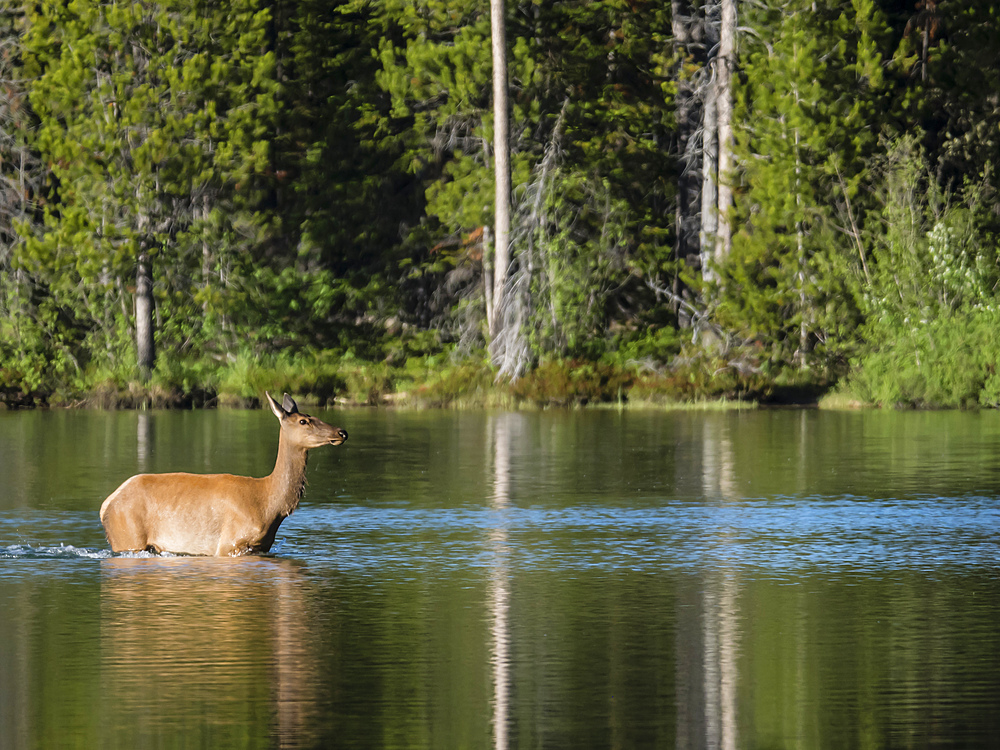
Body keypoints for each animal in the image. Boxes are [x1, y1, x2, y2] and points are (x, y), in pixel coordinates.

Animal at [98, 394, 348, 560]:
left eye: (313, 415)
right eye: (303, 421)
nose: (342, 432)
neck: (270, 506)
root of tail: (106, 504)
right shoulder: (230, 542)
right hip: (128, 537)